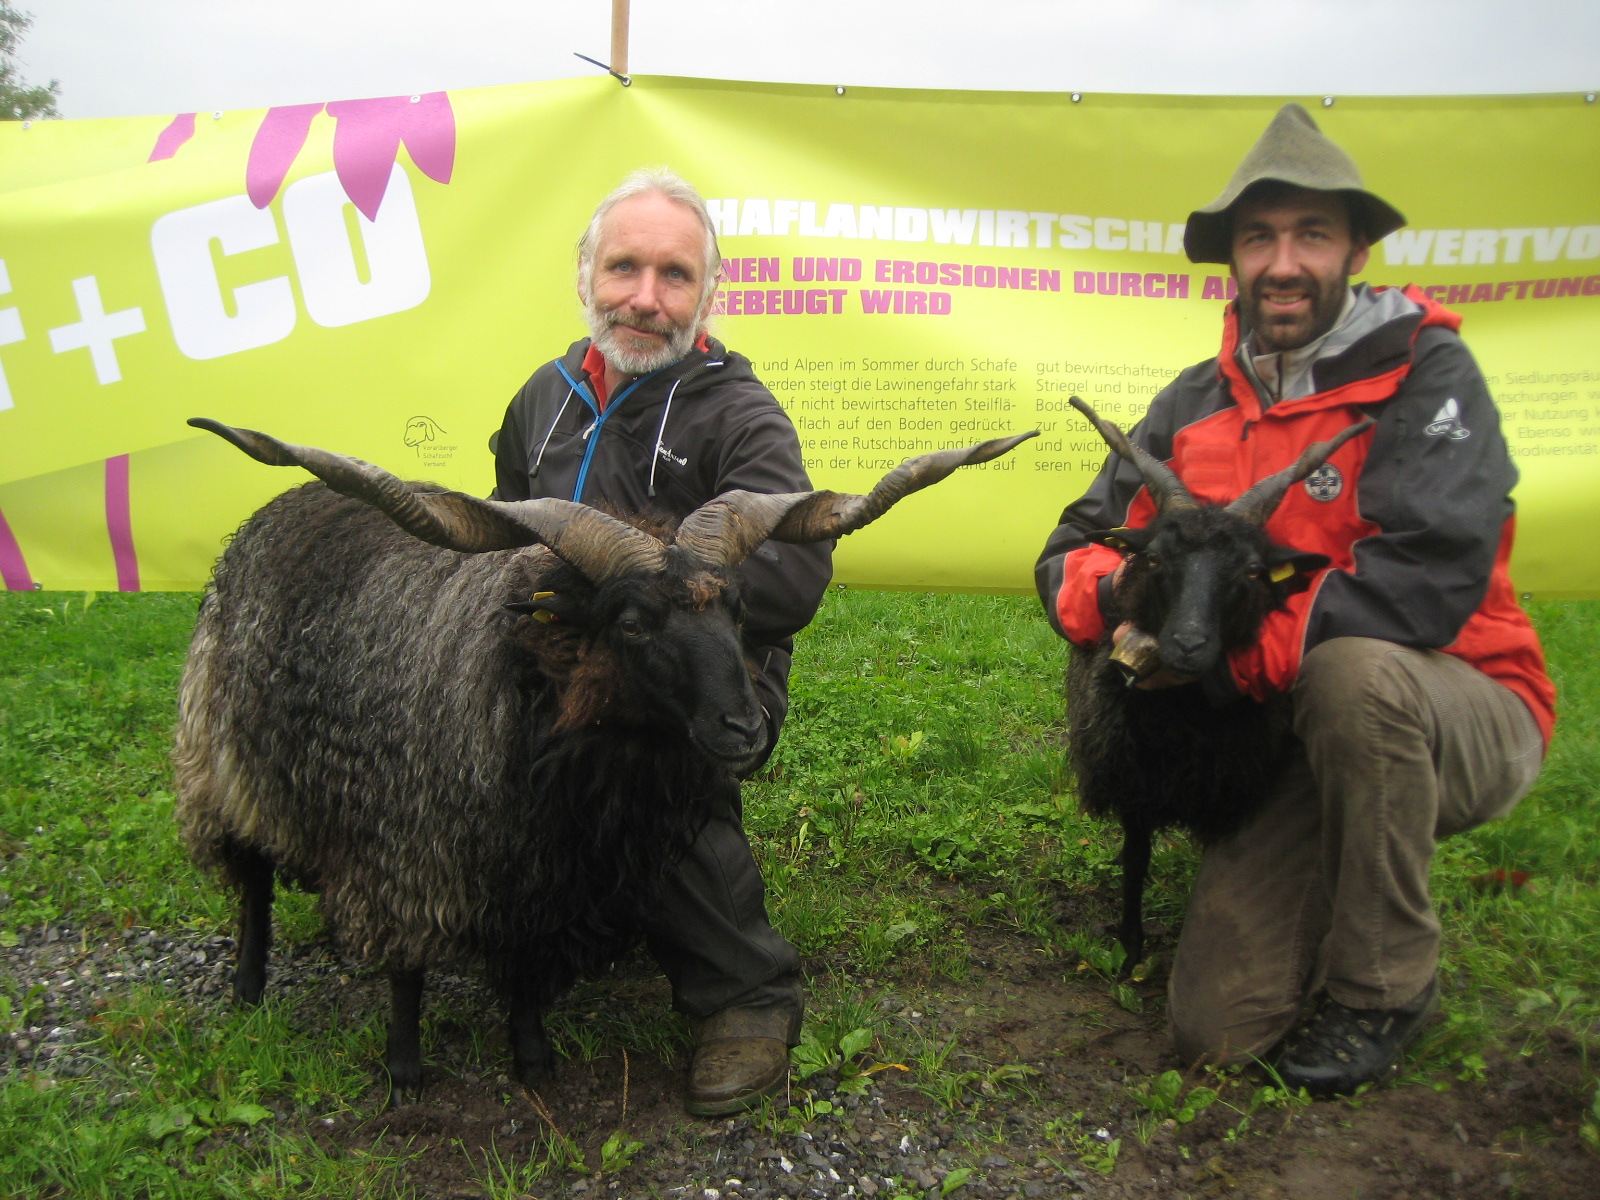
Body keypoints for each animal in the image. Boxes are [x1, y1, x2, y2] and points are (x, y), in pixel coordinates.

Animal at [173, 417, 1033, 1101]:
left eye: (739, 608)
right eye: (631, 622)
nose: (745, 728)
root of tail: (274, 510)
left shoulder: (539, 869)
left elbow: (524, 969)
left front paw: (533, 1061)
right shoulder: (408, 846)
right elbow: (407, 973)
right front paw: (405, 1071)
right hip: (225, 763)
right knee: (252, 883)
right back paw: (248, 989)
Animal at [1059, 396, 1371, 971]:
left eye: (1251, 571)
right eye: (1154, 558)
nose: (1187, 645)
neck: (1182, 722)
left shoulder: (1227, 789)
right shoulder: (1134, 781)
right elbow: (1135, 860)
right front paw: (1130, 950)